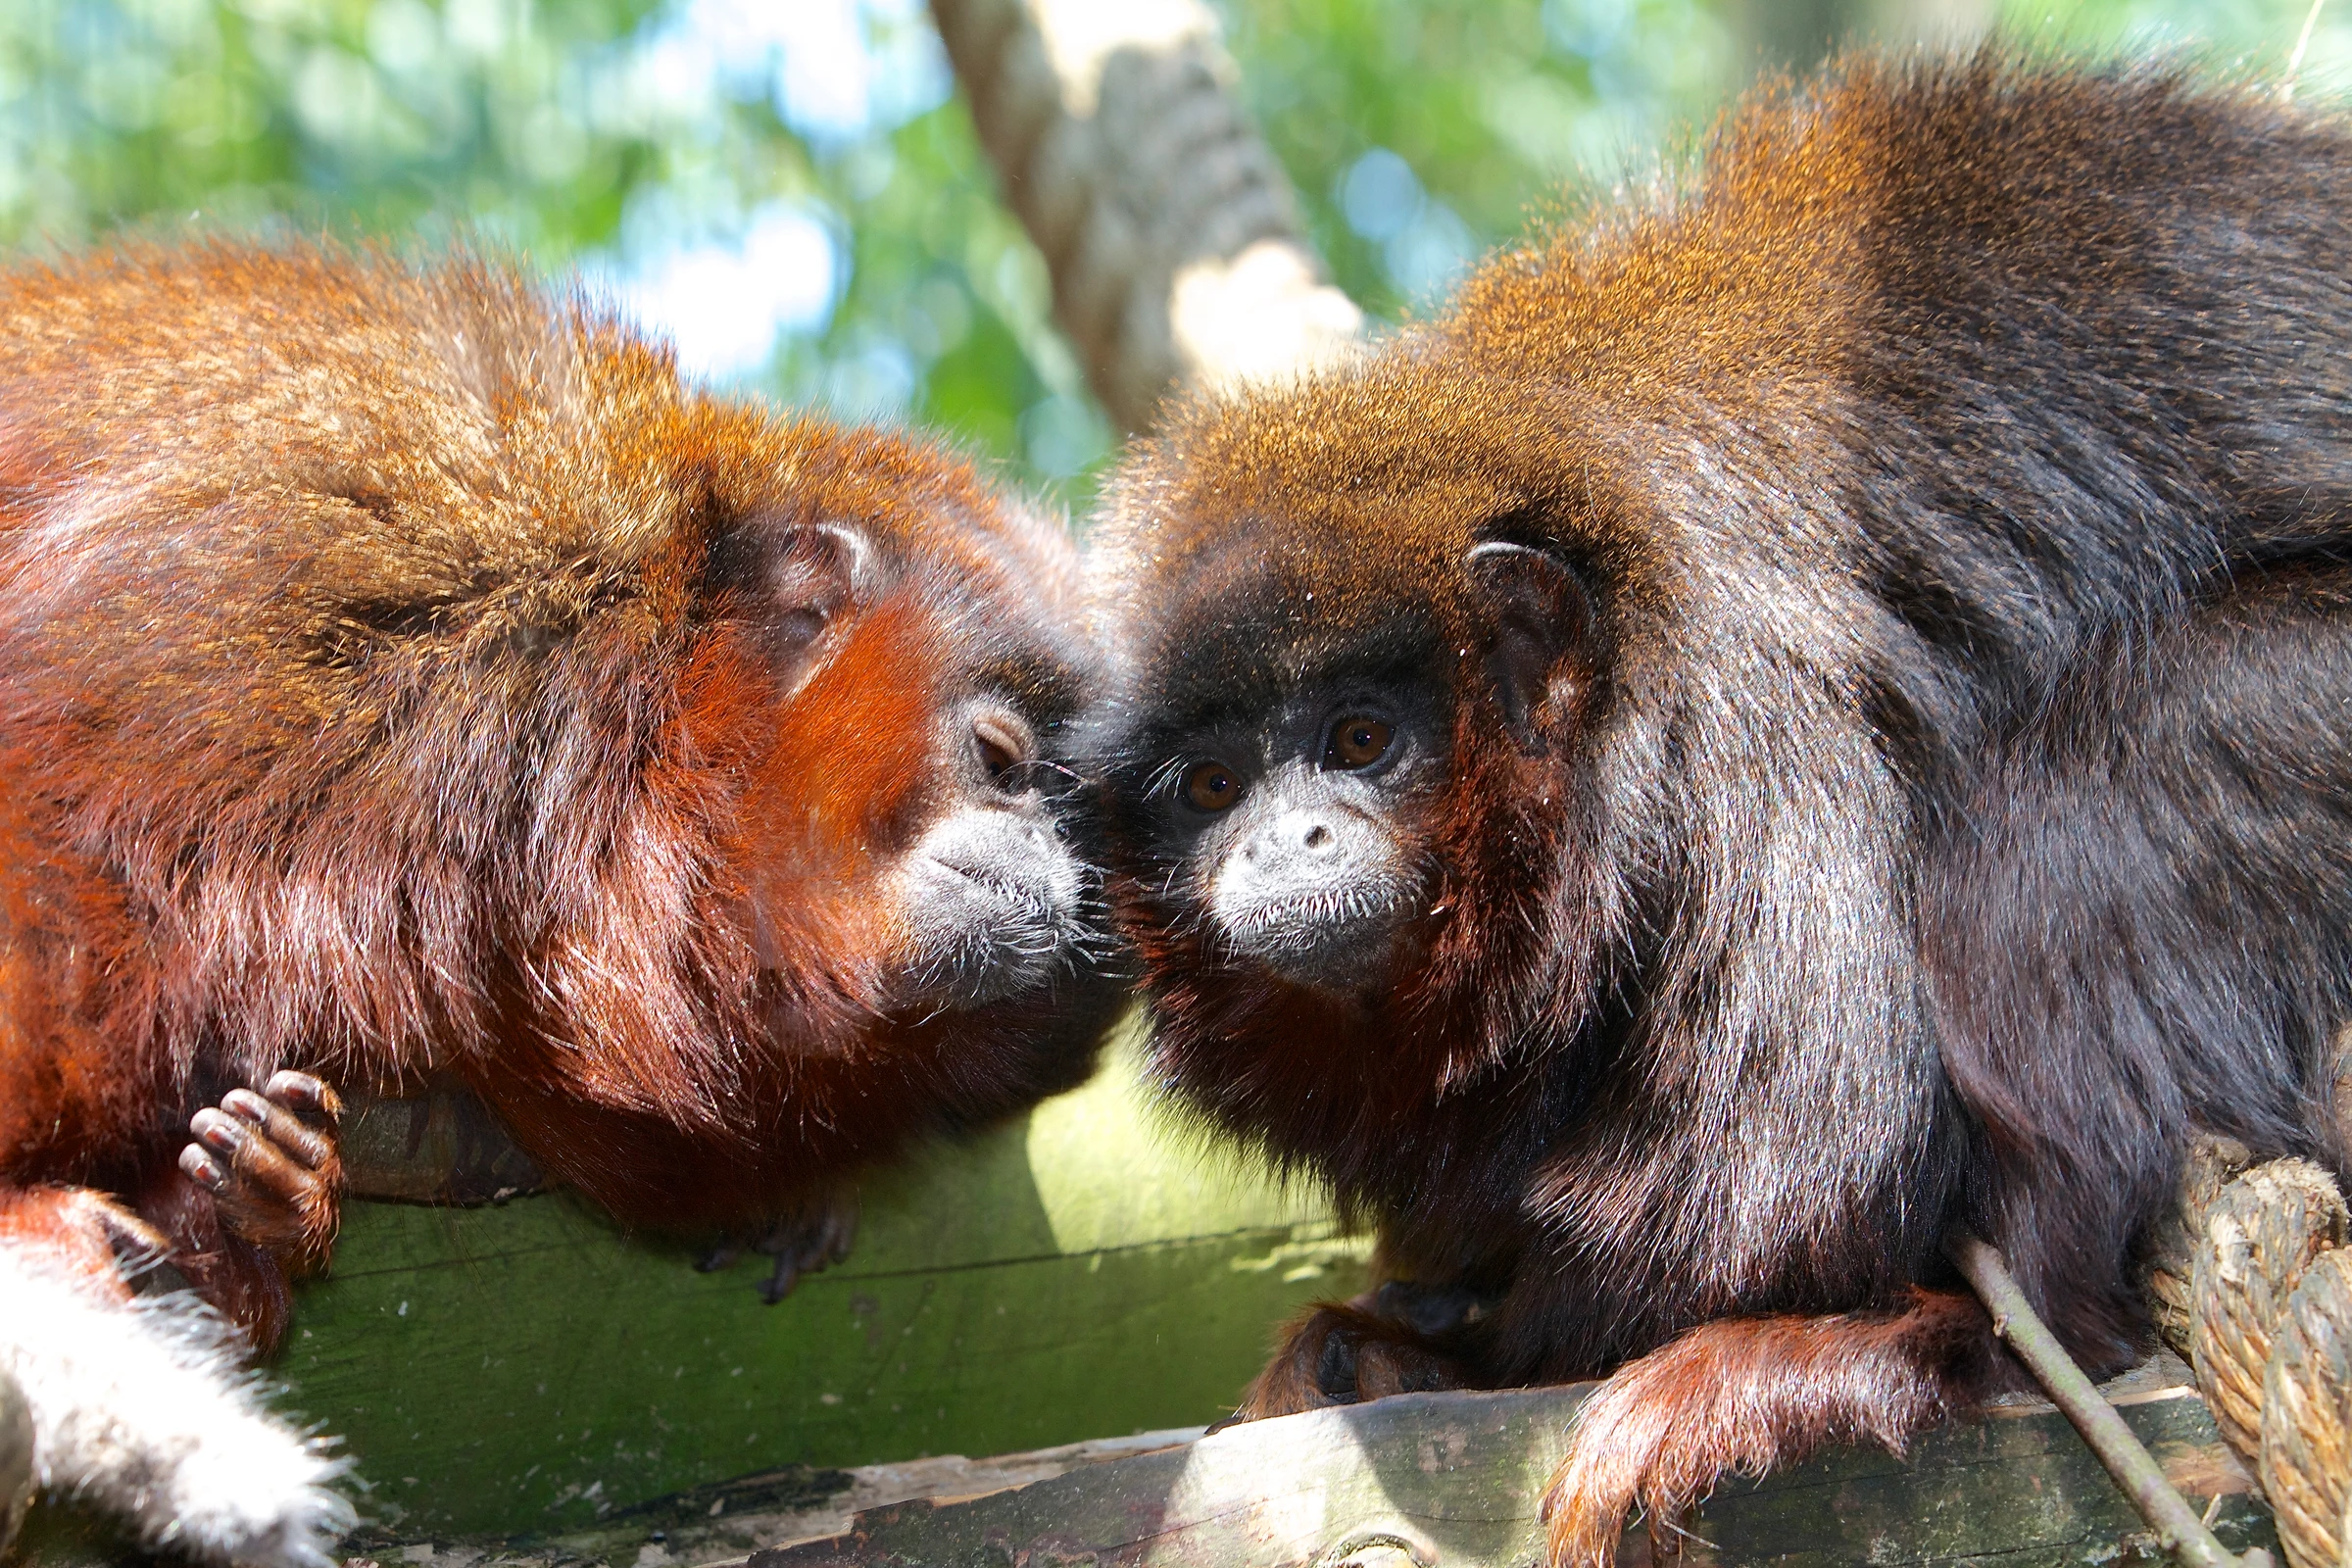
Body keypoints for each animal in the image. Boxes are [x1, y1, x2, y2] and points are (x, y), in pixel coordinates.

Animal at [0, 240, 1117, 1565]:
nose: (1053, 870)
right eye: (1004, 762)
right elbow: (58, 855)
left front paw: (256, 1215)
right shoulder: (353, 605)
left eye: (1080, 829)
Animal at [1084, 49, 2352, 1565]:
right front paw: (1402, 1326)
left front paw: (1470, 1351)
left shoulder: (1751, 709)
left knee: (2060, 830)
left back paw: (1945, 1341)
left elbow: (1813, 1149)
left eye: (1361, 740)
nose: (1292, 841)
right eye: (1213, 787)